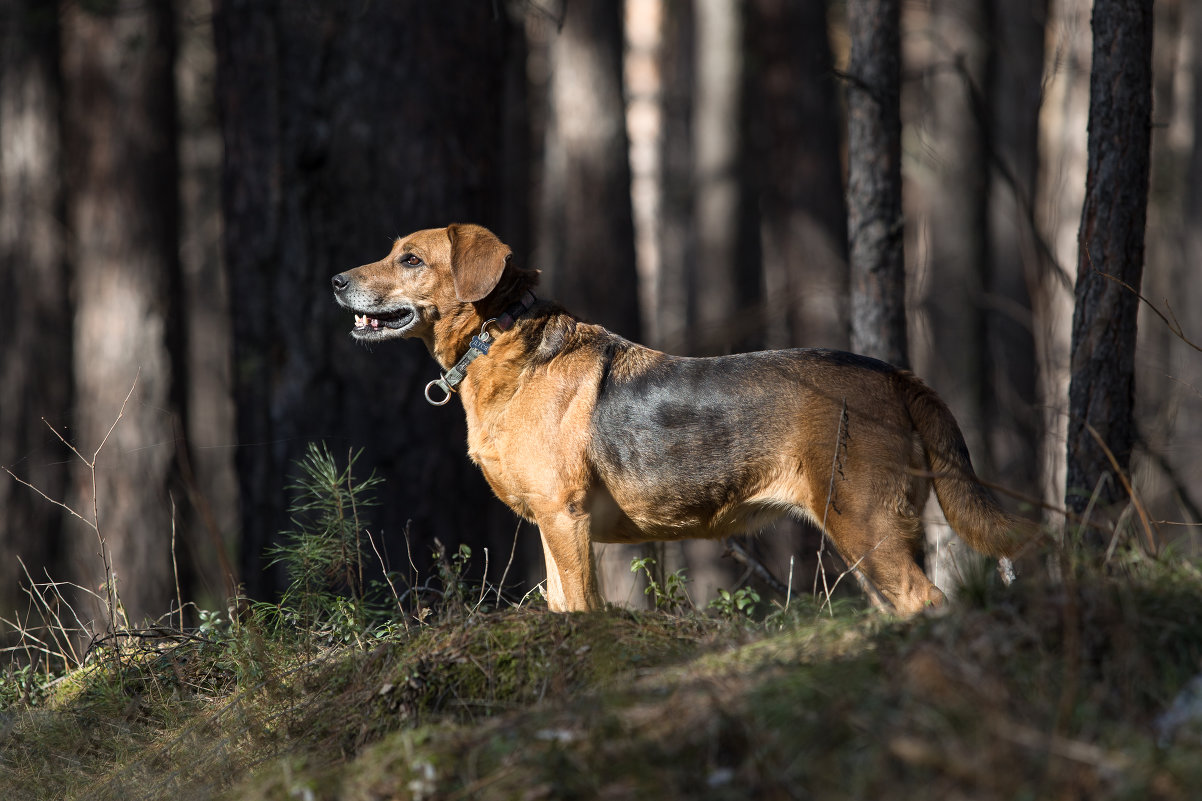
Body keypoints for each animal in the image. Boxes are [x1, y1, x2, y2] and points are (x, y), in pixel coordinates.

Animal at [329, 222, 1033, 610]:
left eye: (411, 260)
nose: (335, 280)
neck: (495, 338)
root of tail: (895, 374)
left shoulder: (565, 519)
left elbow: (583, 609)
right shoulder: (551, 532)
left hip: (866, 526)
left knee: (929, 602)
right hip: (872, 544)